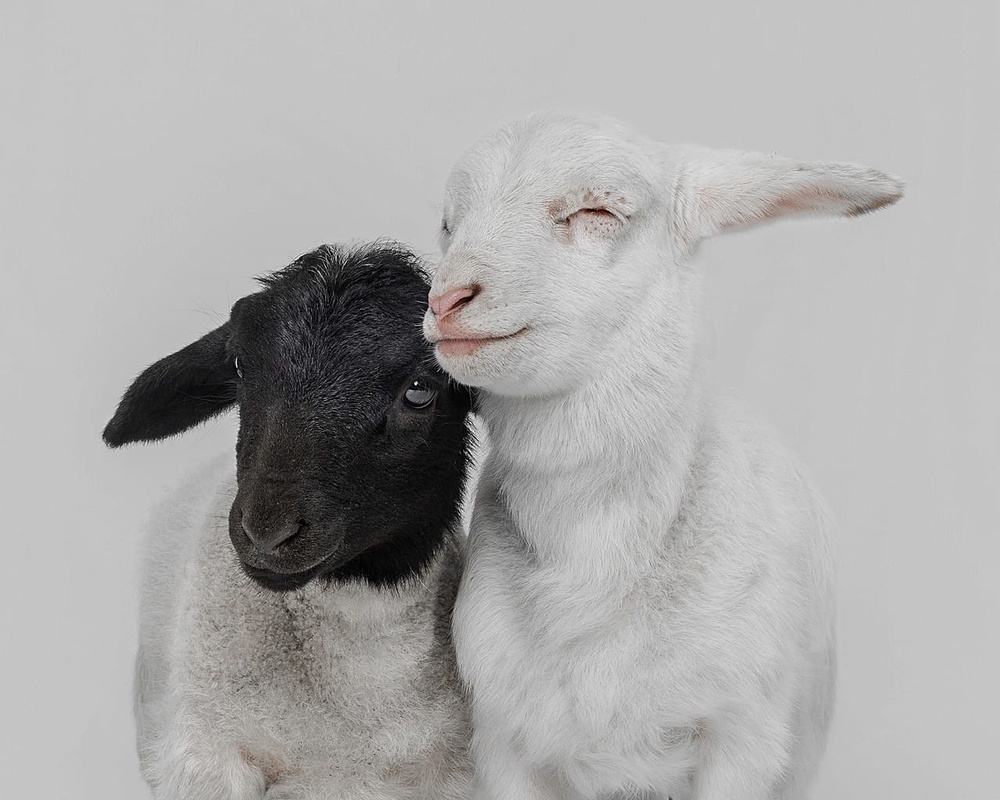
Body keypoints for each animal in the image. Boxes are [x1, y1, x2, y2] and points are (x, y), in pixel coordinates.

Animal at [423, 112, 903, 800]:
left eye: (597, 209)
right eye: (449, 223)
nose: (447, 300)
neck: (592, 569)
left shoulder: (743, 738)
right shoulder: (502, 742)